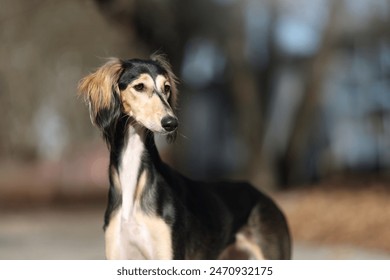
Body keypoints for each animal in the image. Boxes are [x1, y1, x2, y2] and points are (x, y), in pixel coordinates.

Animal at [77, 54, 290, 260]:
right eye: (139, 86)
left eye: (166, 88)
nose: (171, 123)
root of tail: (262, 195)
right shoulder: (118, 254)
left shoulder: (169, 254)